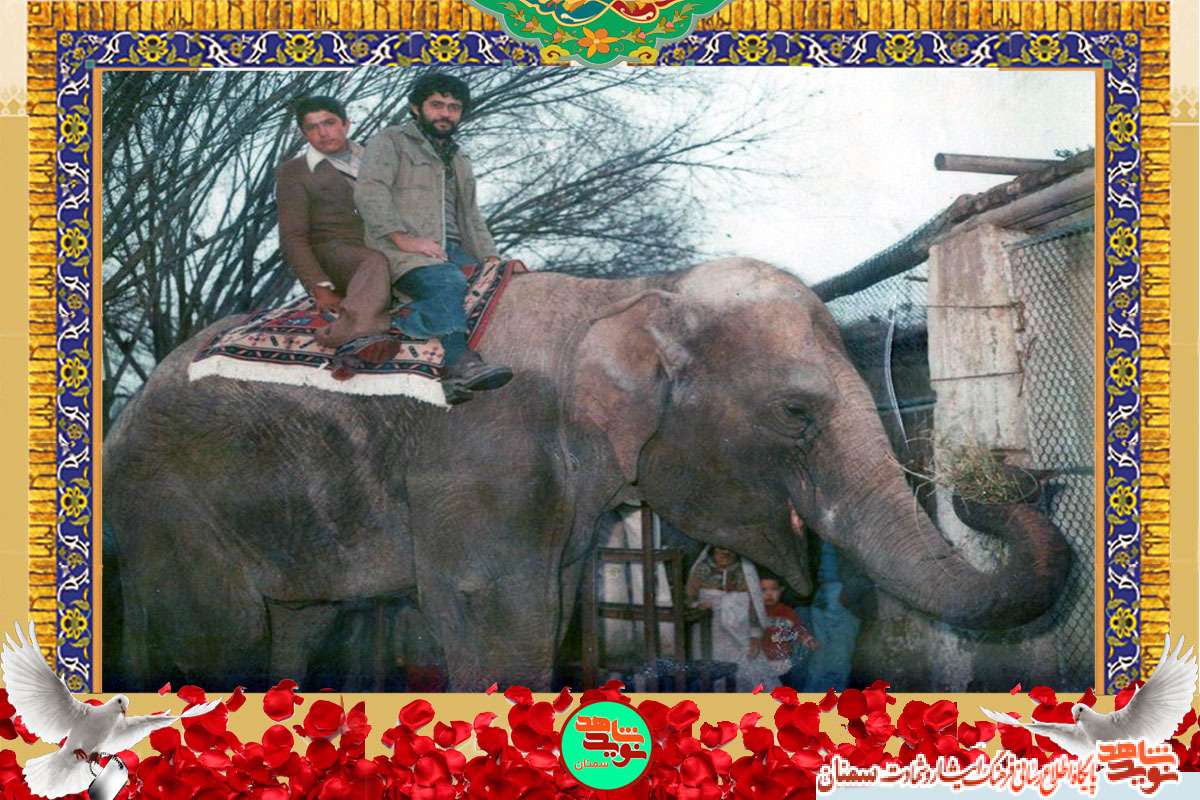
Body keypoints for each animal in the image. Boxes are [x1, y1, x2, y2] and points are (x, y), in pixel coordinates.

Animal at [102, 257, 1072, 691]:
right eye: (797, 415)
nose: (1005, 483)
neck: (628, 297)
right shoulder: (484, 450)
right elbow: (497, 614)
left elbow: (554, 607)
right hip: (169, 501)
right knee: (218, 634)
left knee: (296, 631)